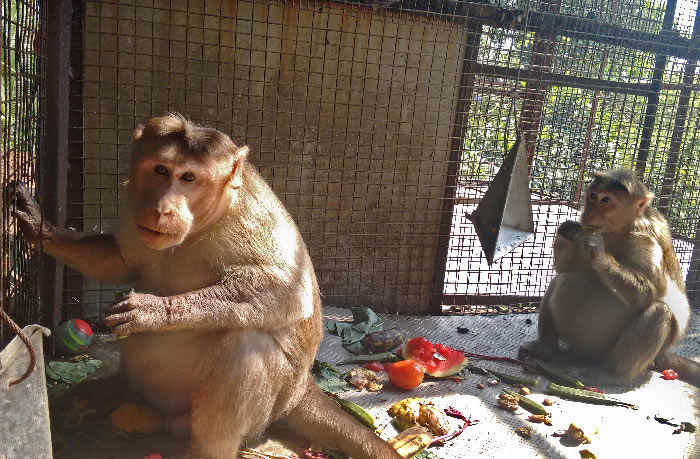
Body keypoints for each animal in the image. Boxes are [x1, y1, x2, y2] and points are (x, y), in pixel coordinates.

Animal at [10, 114, 402, 459]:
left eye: (188, 177)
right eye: (160, 170)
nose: (162, 208)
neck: (202, 223)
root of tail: (302, 387)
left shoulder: (249, 220)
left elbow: (288, 292)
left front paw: (154, 310)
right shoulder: (134, 207)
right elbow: (121, 261)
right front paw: (43, 230)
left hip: (267, 407)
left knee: (247, 341)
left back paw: (209, 448)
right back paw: (111, 393)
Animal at [519, 169, 699, 386]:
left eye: (607, 200)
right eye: (593, 195)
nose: (589, 212)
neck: (617, 231)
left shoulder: (646, 238)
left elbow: (648, 293)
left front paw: (600, 253)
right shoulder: (585, 227)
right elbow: (565, 267)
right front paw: (566, 229)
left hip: (608, 352)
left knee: (659, 311)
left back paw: (612, 374)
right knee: (559, 279)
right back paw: (547, 348)